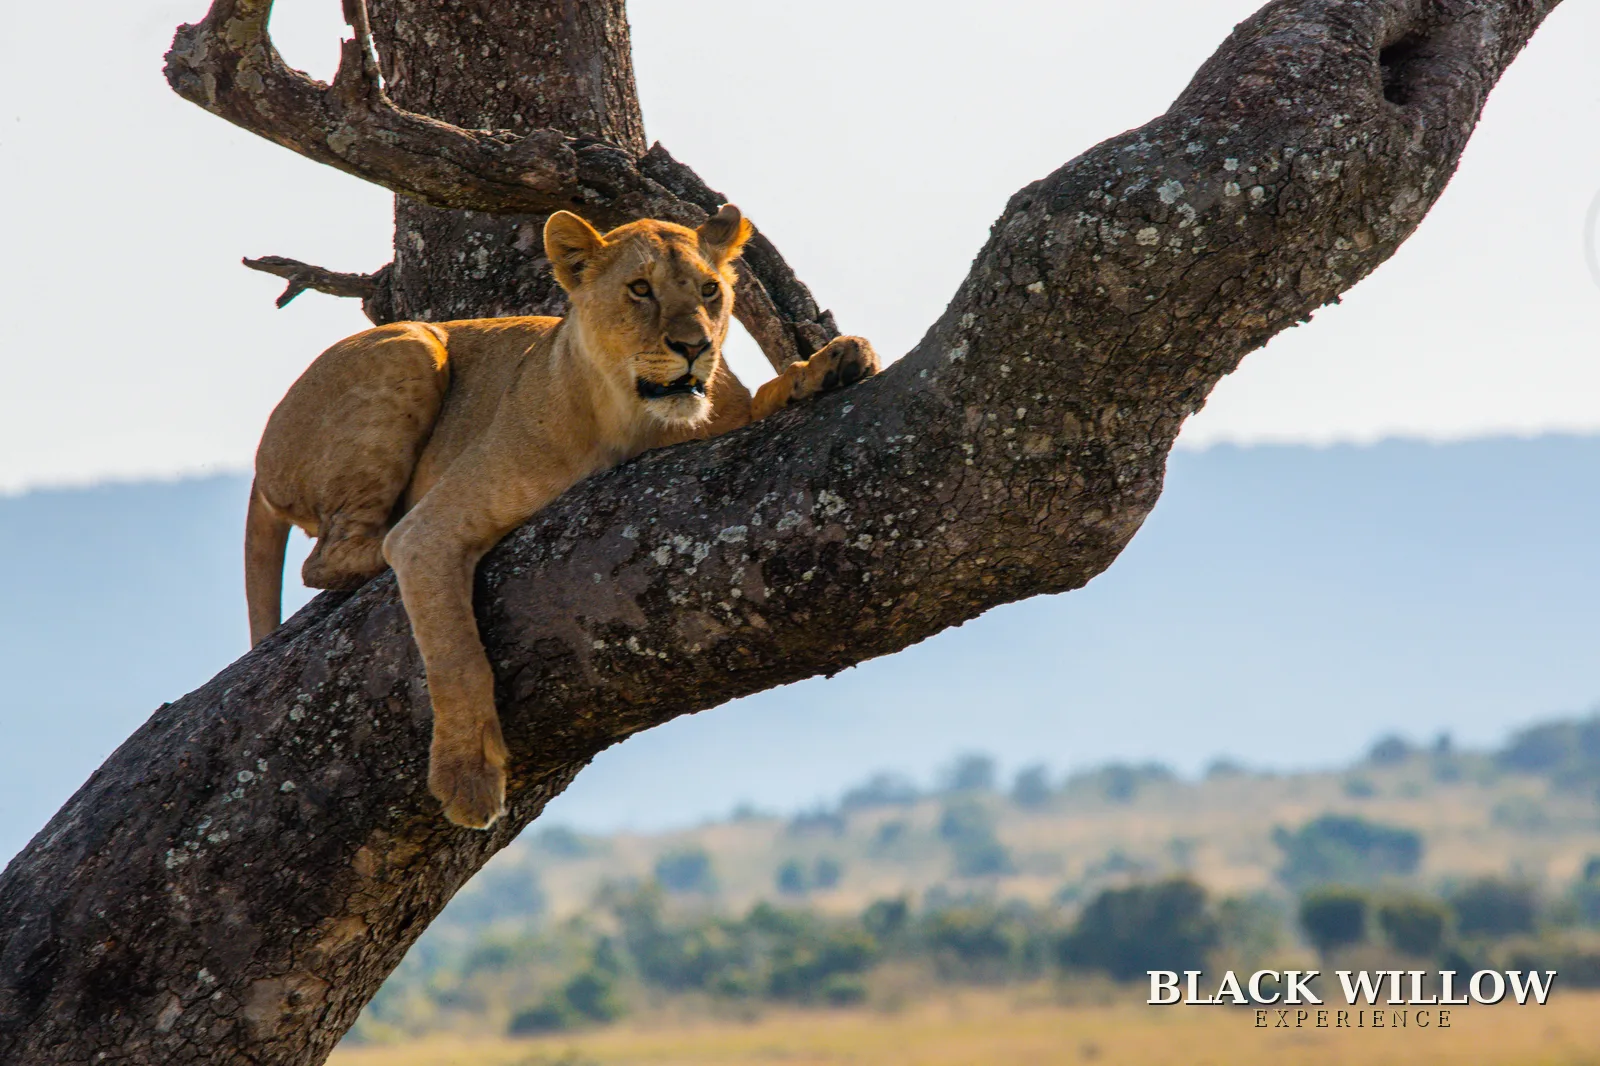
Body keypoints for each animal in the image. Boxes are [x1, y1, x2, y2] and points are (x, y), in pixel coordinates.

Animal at [245, 205, 879, 829]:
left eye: (709, 290)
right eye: (640, 289)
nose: (695, 346)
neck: (635, 419)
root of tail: (261, 451)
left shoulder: (724, 415)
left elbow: (762, 401)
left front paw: (830, 365)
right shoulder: (428, 533)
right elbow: (456, 654)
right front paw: (467, 776)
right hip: (412, 345)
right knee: (331, 559)